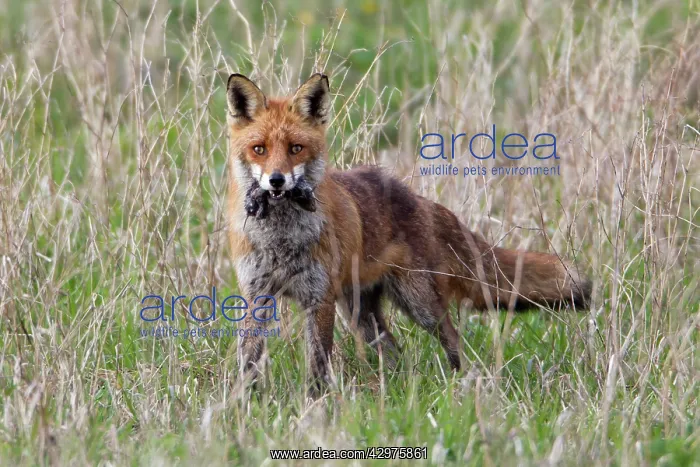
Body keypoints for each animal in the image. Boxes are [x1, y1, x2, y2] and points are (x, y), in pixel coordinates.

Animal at [225, 73, 591, 392]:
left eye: (295, 148)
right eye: (259, 149)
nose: (276, 181)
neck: (280, 241)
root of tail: (421, 200)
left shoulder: (319, 298)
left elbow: (317, 362)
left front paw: (314, 405)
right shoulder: (256, 294)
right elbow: (249, 357)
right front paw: (244, 402)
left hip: (419, 304)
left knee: (452, 338)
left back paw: (459, 385)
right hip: (360, 313)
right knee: (393, 349)